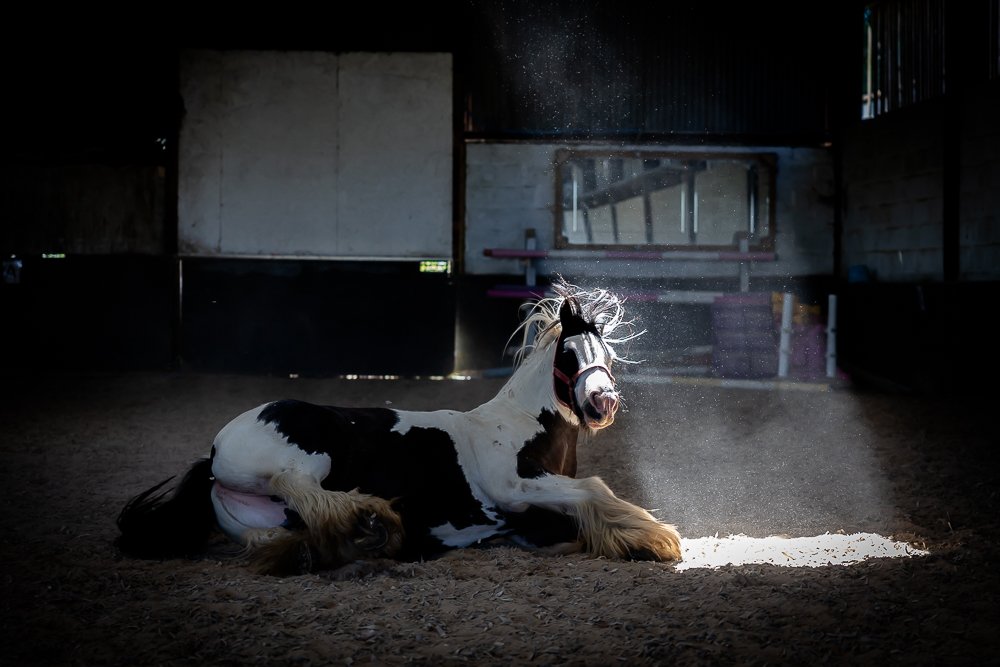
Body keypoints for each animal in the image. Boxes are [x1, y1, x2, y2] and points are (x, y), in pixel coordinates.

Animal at [116, 279, 682, 575]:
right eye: (569, 355)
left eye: (608, 356)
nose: (603, 402)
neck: (522, 425)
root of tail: (213, 453)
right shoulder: (514, 487)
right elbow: (594, 488)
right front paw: (656, 538)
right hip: (303, 456)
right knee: (305, 489)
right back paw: (374, 522)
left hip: (261, 518)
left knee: (289, 533)